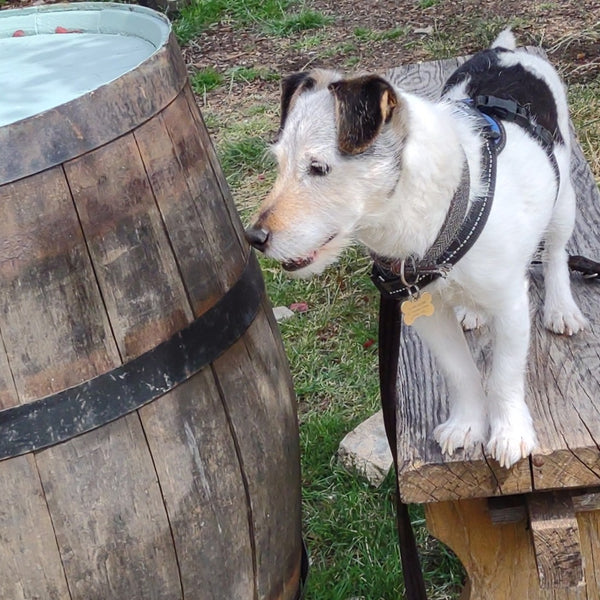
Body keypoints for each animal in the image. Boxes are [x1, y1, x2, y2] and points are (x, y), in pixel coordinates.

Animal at [244, 29, 584, 468]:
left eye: (318, 168)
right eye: (279, 163)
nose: (254, 237)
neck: (445, 209)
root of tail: (505, 51)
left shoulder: (510, 303)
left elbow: (504, 374)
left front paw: (509, 432)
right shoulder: (426, 312)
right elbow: (460, 371)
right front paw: (466, 424)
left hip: (563, 201)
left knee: (557, 253)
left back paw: (561, 308)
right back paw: (472, 311)